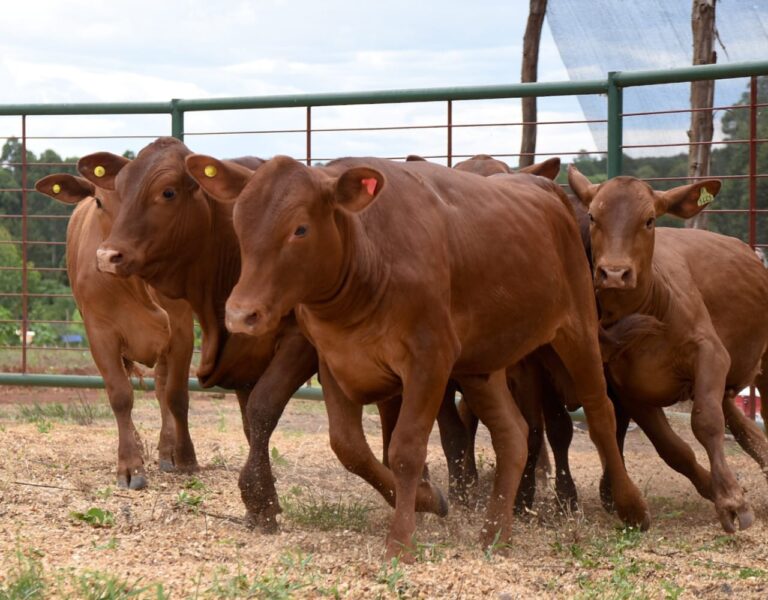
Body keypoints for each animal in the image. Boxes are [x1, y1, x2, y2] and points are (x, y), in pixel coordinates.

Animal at [34, 172, 196, 488]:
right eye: (99, 201)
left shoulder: (182, 330)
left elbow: (177, 395)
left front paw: (185, 456)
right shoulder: (100, 334)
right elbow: (121, 396)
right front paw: (131, 465)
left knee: (162, 388)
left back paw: (167, 450)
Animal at [184, 151, 648, 556]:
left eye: (300, 229)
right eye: (240, 223)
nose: (241, 313)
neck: (369, 259)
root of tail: (545, 189)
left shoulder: (429, 360)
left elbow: (405, 449)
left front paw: (401, 542)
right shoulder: (334, 360)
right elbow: (350, 447)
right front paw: (429, 499)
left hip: (577, 330)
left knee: (600, 412)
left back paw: (631, 507)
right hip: (482, 364)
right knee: (513, 433)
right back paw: (495, 534)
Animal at [568, 165, 768, 536]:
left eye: (649, 220)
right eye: (593, 216)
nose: (613, 273)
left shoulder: (711, 353)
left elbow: (706, 422)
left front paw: (732, 501)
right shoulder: (629, 391)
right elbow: (673, 448)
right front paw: (720, 491)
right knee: (744, 430)